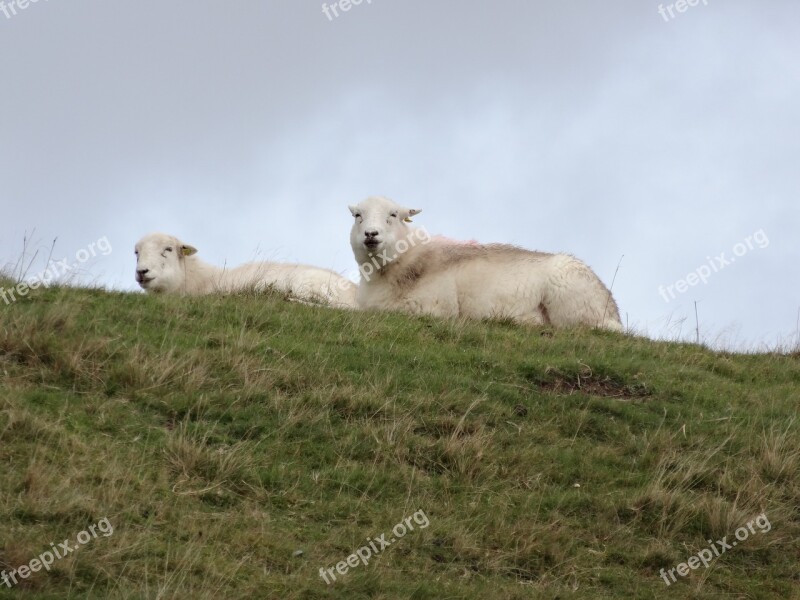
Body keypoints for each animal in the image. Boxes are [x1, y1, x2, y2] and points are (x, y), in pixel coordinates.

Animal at [346, 196, 620, 328]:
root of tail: (612, 307)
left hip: (574, 307)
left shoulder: (433, 307)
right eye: (358, 215)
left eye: (393, 215)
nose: (371, 234)